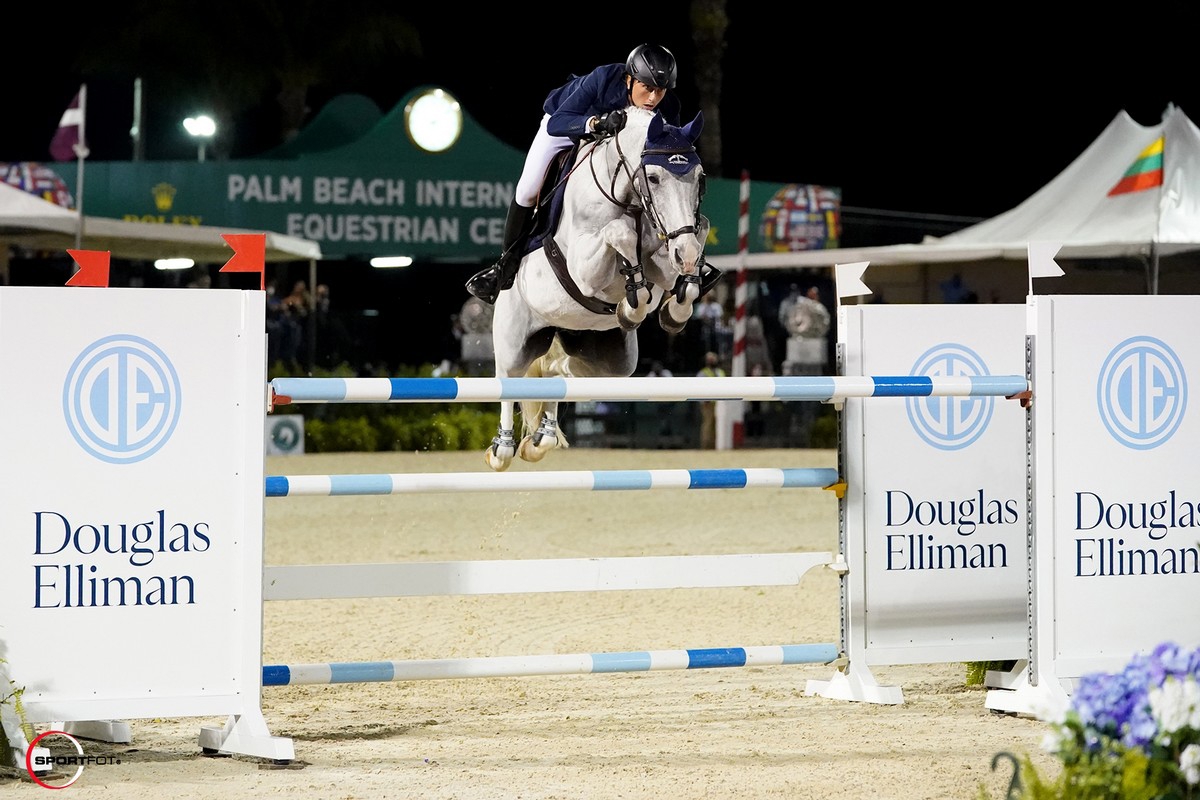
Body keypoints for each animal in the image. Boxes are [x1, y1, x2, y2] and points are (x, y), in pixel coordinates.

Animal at [484, 105, 710, 470]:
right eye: (654, 178)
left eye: (700, 178)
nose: (686, 256)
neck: (628, 198)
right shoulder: (582, 268)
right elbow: (620, 232)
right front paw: (634, 302)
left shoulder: (665, 258)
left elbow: (698, 231)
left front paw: (672, 306)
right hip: (513, 339)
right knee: (508, 379)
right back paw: (501, 449)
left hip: (611, 358)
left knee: (559, 372)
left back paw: (542, 437)